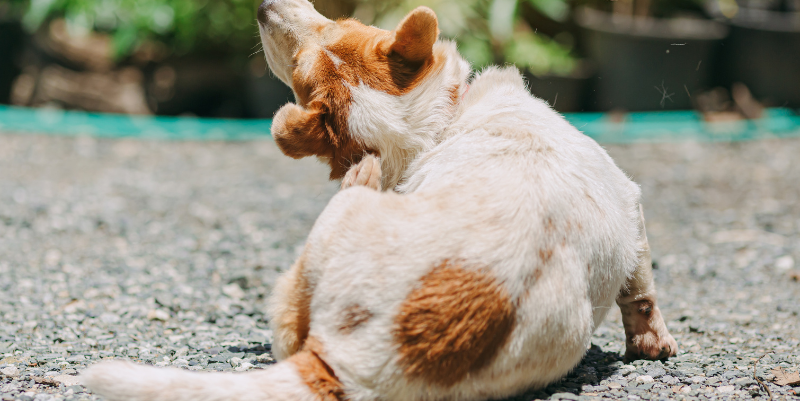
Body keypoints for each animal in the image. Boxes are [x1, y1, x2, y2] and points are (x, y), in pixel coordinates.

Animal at [84, 0, 676, 400]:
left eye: (340, 25)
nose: (262, 5)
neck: (432, 131)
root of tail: (351, 360)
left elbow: (641, 290)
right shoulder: (632, 203)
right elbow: (641, 288)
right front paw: (651, 342)